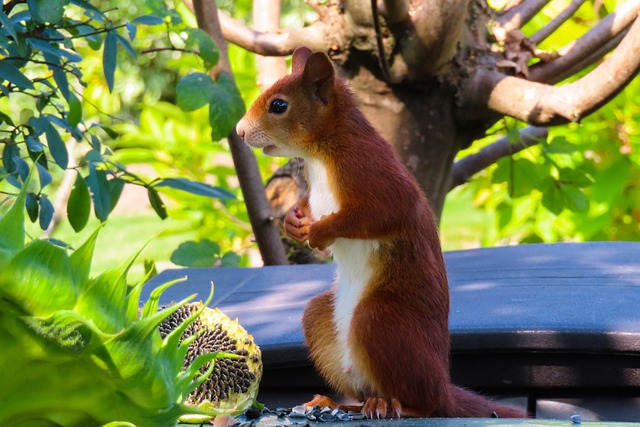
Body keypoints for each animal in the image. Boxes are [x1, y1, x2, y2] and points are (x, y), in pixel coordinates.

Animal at [235, 46, 524, 418]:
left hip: (379, 320)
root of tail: (442, 387)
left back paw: (392, 405)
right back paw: (336, 401)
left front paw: (321, 230)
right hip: (324, 324)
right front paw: (295, 221)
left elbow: (387, 211)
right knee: (359, 387)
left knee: (424, 404)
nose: (240, 131)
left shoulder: (369, 167)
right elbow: (308, 209)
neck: (320, 153)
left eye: (279, 105)